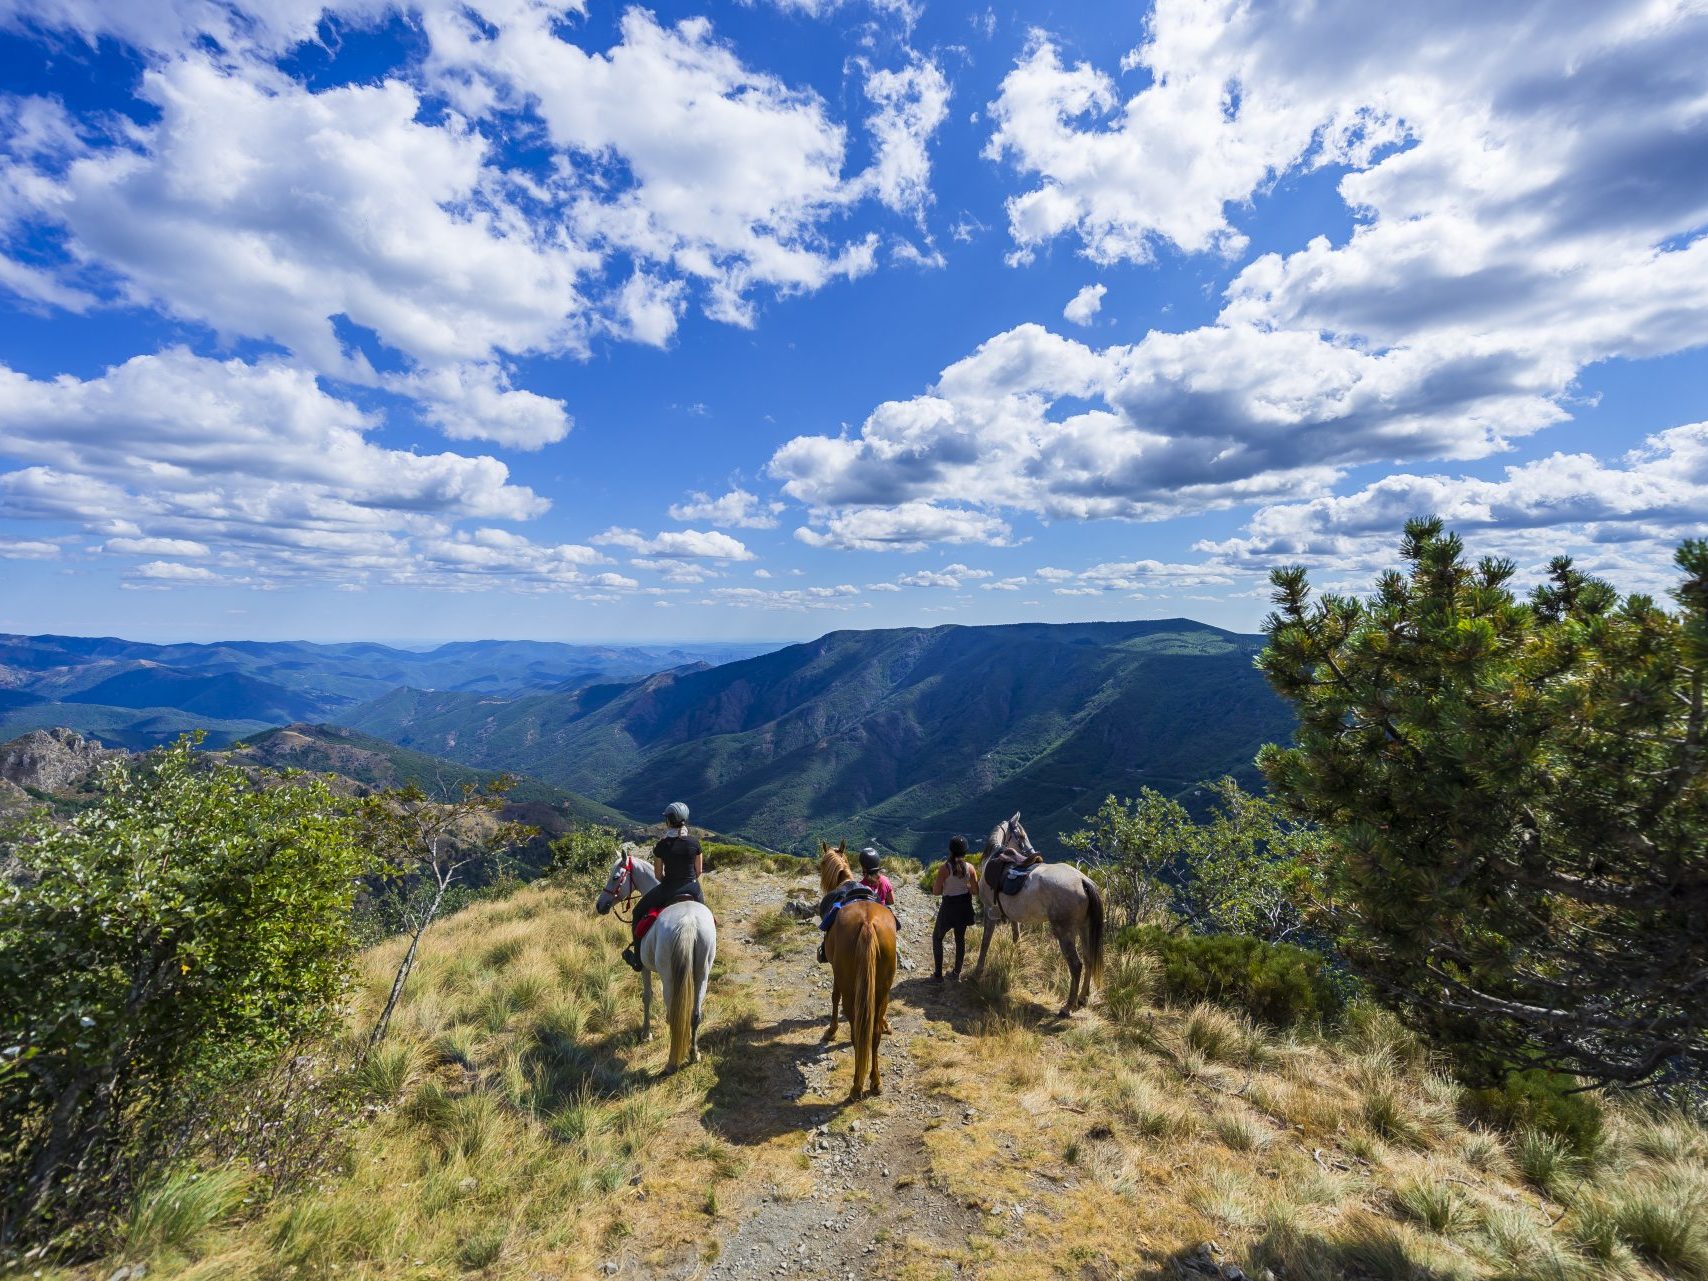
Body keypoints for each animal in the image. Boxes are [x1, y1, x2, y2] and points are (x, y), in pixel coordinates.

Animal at [597, 843, 717, 1072]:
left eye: (616, 877)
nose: (600, 905)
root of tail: (688, 921)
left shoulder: (644, 967)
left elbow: (647, 996)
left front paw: (646, 1033)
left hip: (669, 976)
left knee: (674, 1013)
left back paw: (671, 1062)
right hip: (702, 974)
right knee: (695, 1015)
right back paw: (693, 1054)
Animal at [819, 843, 901, 1106]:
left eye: (821, 864)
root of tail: (867, 923)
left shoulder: (836, 971)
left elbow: (833, 997)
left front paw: (831, 1030)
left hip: (851, 988)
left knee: (857, 1030)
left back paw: (856, 1086)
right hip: (882, 989)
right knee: (873, 1034)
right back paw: (875, 1081)